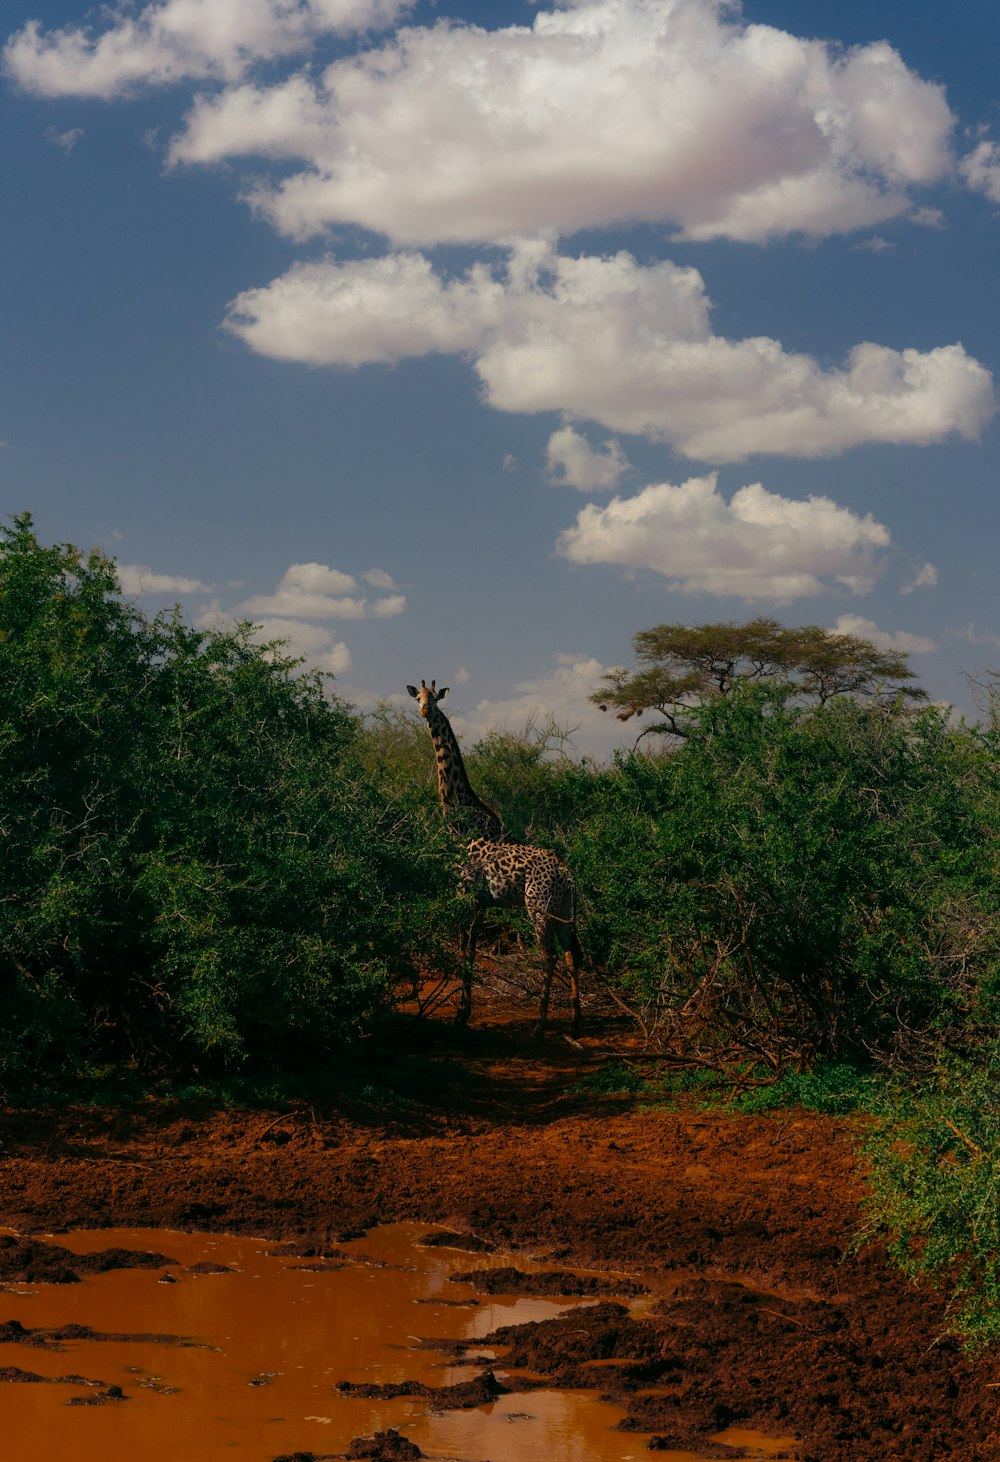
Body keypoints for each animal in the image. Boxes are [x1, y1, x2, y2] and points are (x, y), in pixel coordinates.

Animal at [403, 678, 581, 1035]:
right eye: (418, 698)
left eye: (435, 698)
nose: (426, 710)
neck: (459, 821)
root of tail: (566, 874)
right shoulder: (482, 901)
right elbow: (470, 950)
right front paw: (463, 1011)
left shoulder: (466, 893)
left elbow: (465, 949)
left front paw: (461, 1014)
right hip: (563, 908)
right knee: (571, 949)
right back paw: (574, 1019)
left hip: (537, 906)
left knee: (549, 955)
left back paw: (540, 1024)